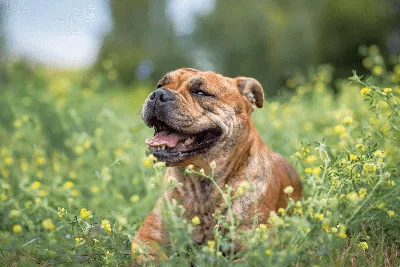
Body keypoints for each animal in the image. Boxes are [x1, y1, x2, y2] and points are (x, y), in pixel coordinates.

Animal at [133, 68, 302, 262]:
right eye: (160, 85)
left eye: (200, 92)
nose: (158, 94)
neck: (200, 186)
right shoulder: (147, 237)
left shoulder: (262, 248)